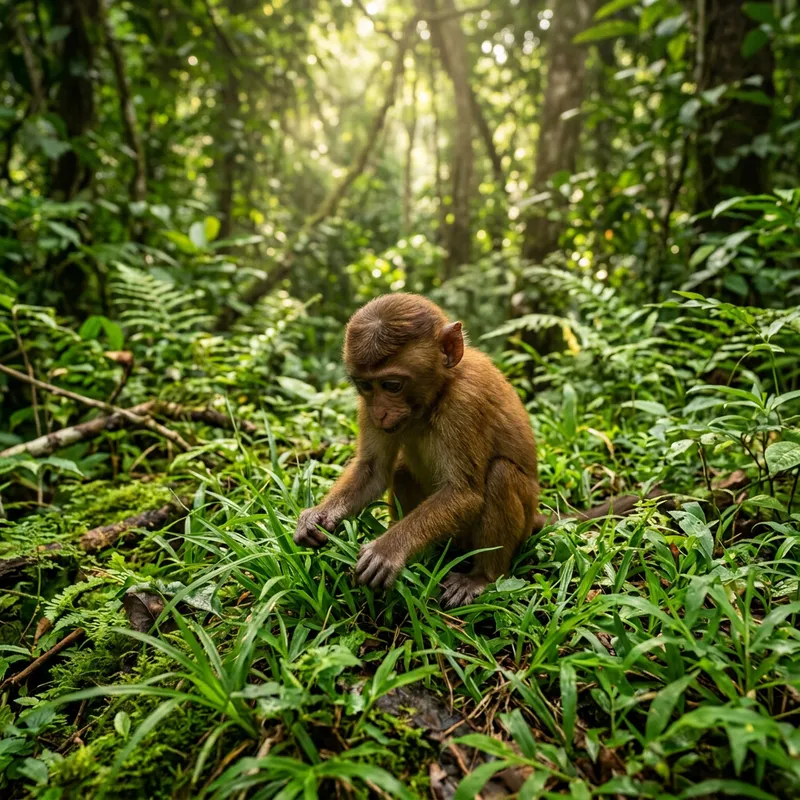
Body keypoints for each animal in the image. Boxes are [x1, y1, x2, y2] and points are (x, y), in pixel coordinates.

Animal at [294, 293, 658, 609]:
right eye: (365, 386)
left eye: (392, 385)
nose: (381, 413)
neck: (438, 394)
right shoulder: (365, 407)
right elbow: (374, 470)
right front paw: (318, 517)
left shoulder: (464, 404)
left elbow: (465, 493)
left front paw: (388, 549)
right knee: (401, 470)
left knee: (499, 475)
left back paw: (483, 575)